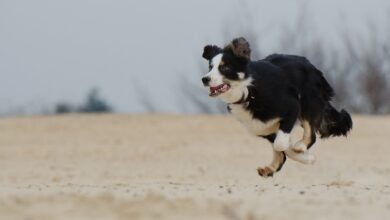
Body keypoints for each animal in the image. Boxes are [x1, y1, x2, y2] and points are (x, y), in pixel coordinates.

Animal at [203, 36, 352, 177]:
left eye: (224, 67)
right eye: (210, 67)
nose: (205, 79)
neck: (248, 92)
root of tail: (309, 64)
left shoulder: (292, 107)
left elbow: (280, 144)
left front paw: (306, 156)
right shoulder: (260, 127)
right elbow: (281, 147)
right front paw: (307, 158)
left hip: (308, 102)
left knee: (311, 133)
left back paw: (300, 146)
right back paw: (269, 169)